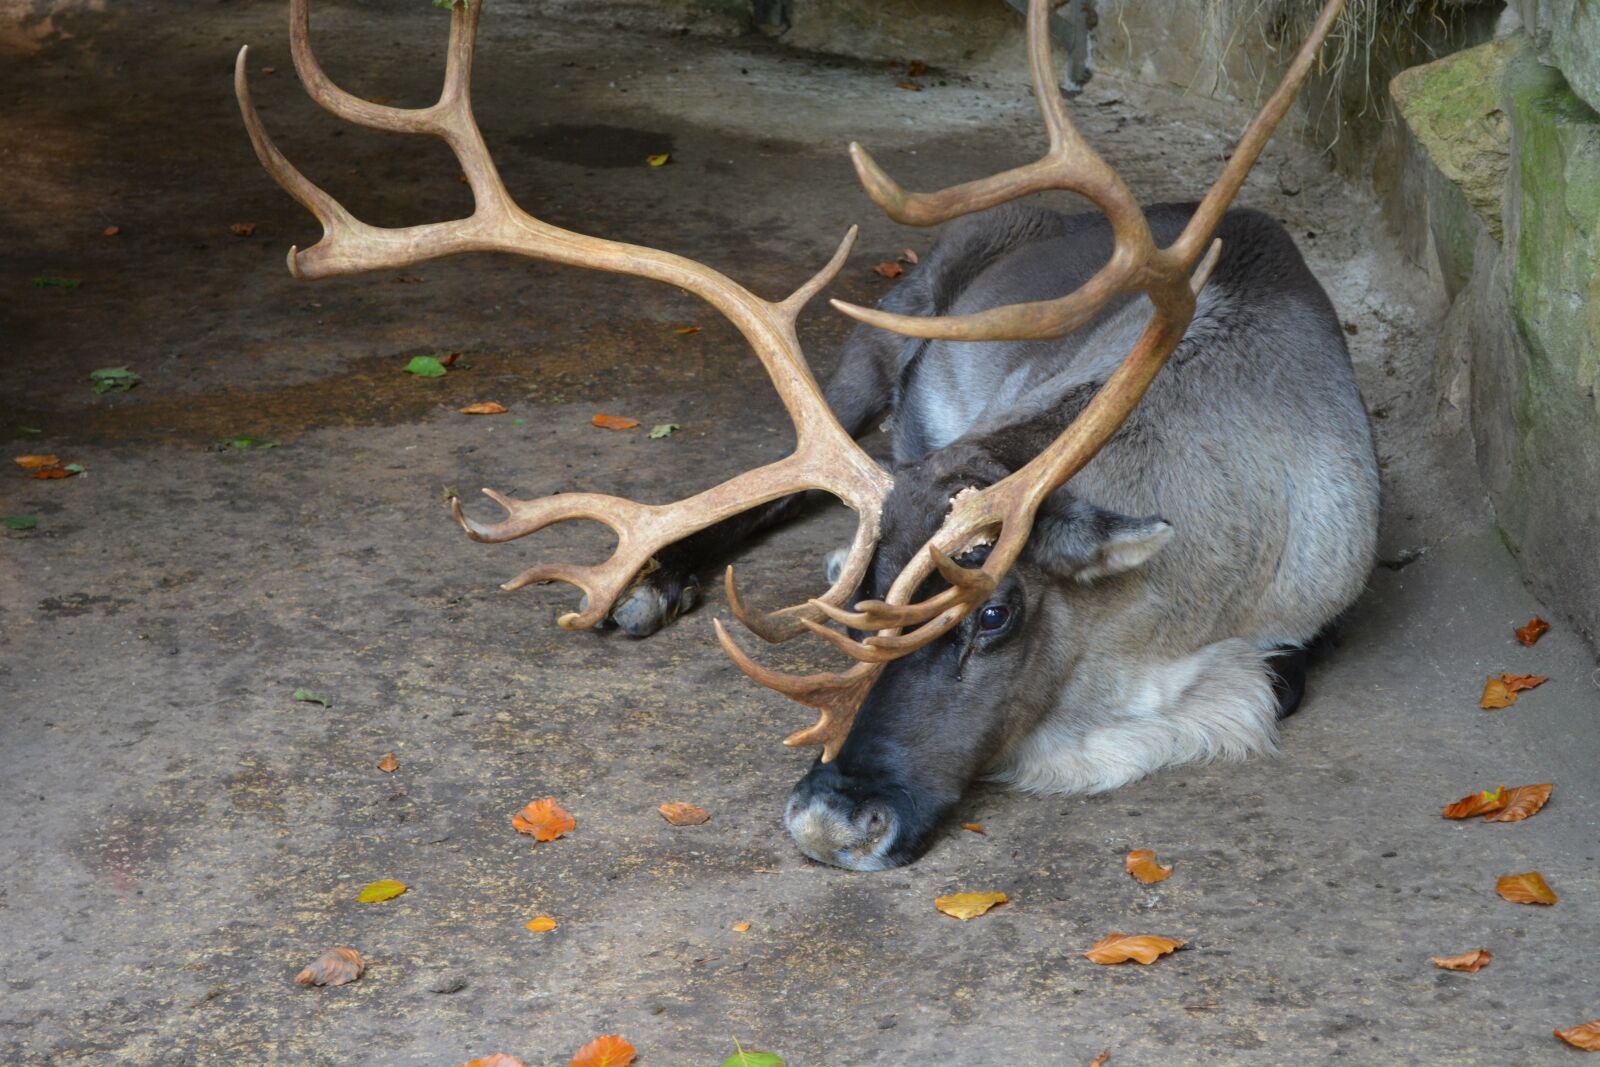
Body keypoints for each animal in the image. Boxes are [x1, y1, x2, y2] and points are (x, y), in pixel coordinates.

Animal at [235, 0, 1373, 870]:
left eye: (995, 610)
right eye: (857, 594)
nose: (830, 817)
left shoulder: (1310, 618)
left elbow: (1240, 692)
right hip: (891, 321)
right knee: (772, 479)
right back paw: (650, 579)